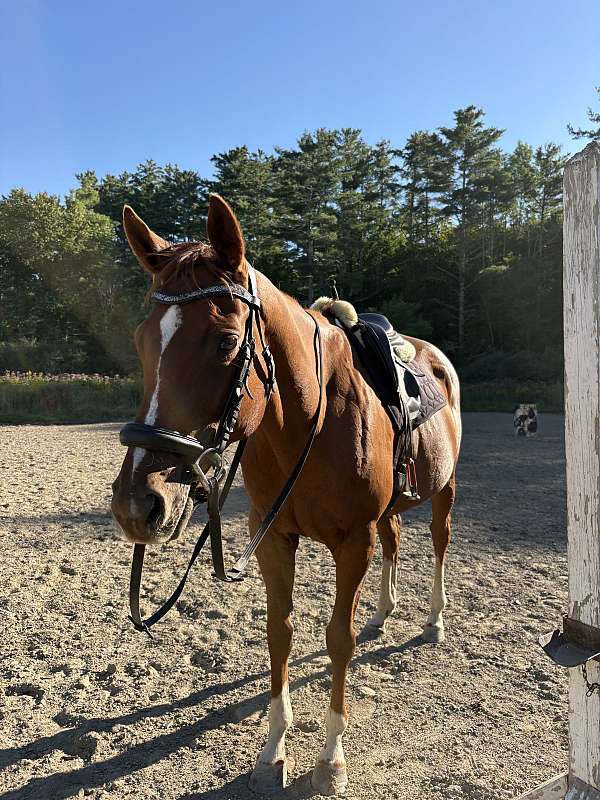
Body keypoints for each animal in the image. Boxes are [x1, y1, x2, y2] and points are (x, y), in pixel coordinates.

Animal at [111, 194, 462, 796]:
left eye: (227, 341)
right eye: (140, 342)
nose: (138, 503)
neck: (309, 421)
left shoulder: (353, 543)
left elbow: (338, 639)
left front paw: (331, 759)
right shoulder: (273, 538)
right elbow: (280, 633)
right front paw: (273, 748)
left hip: (444, 490)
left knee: (437, 544)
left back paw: (433, 621)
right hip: (391, 512)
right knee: (396, 539)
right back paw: (384, 612)